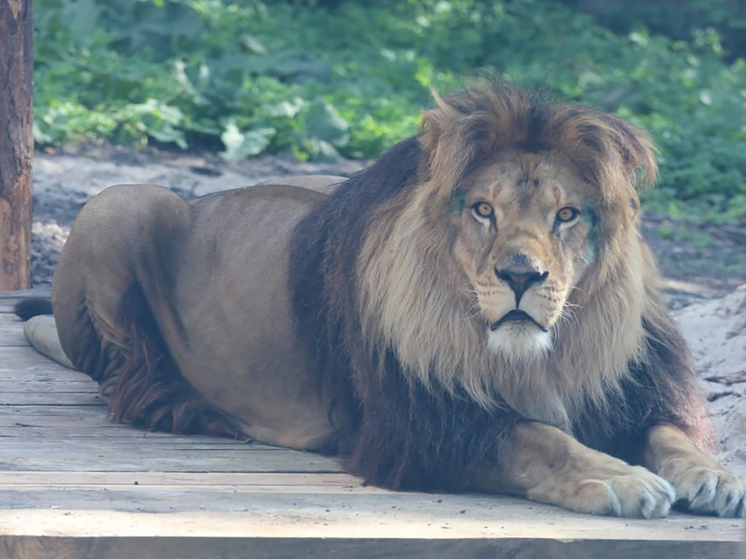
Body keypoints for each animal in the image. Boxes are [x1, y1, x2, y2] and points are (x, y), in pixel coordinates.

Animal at [18, 81, 744, 520]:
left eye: (567, 215)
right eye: (482, 210)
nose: (521, 275)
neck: (541, 357)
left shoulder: (630, 386)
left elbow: (668, 430)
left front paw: (714, 474)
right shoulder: (414, 424)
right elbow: (535, 437)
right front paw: (621, 478)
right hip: (120, 201)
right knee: (115, 369)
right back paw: (182, 402)